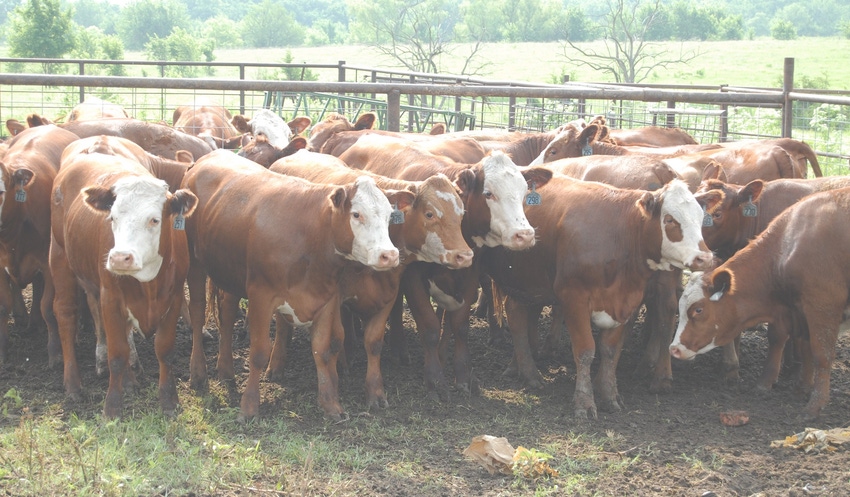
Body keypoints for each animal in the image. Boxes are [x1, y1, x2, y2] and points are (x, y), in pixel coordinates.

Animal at [0, 124, 80, 364]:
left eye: (1, 190)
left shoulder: (47, 262)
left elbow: (47, 307)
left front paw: (55, 352)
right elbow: (4, 306)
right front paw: (3, 350)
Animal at [51, 144, 199, 418]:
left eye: (154, 219)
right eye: (112, 218)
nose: (120, 258)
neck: (149, 282)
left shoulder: (173, 298)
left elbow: (164, 350)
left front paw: (169, 401)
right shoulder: (111, 298)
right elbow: (117, 353)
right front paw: (112, 408)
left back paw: (129, 382)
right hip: (59, 255)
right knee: (65, 313)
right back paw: (73, 385)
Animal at [181, 150, 398, 418]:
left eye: (389, 215)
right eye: (356, 214)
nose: (389, 255)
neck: (310, 236)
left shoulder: (326, 298)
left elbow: (322, 349)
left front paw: (331, 404)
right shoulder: (260, 296)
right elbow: (259, 353)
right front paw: (249, 407)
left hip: (230, 271)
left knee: (228, 314)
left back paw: (226, 371)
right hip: (195, 265)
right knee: (198, 312)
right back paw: (198, 373)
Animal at [484, 176, 716, 416]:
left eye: (701, 219)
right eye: (670, 219)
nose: (705, 258)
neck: (619, 235)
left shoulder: (627, 302)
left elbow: (611, 350)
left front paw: (608, 395)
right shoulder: (574, 298)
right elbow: (586, 350)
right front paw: (584, 401)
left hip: (528, 282)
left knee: (518, 315)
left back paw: (520, 368)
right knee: (517, 319)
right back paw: (530, 373)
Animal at [664, 186, 848, 418]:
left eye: (698, 310)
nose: (674, 349)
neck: (791, 244)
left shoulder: (822, 307)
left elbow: (821, 354)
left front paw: (815, 405)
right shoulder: (800, 310)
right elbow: (803, 348)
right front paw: (801, 388)